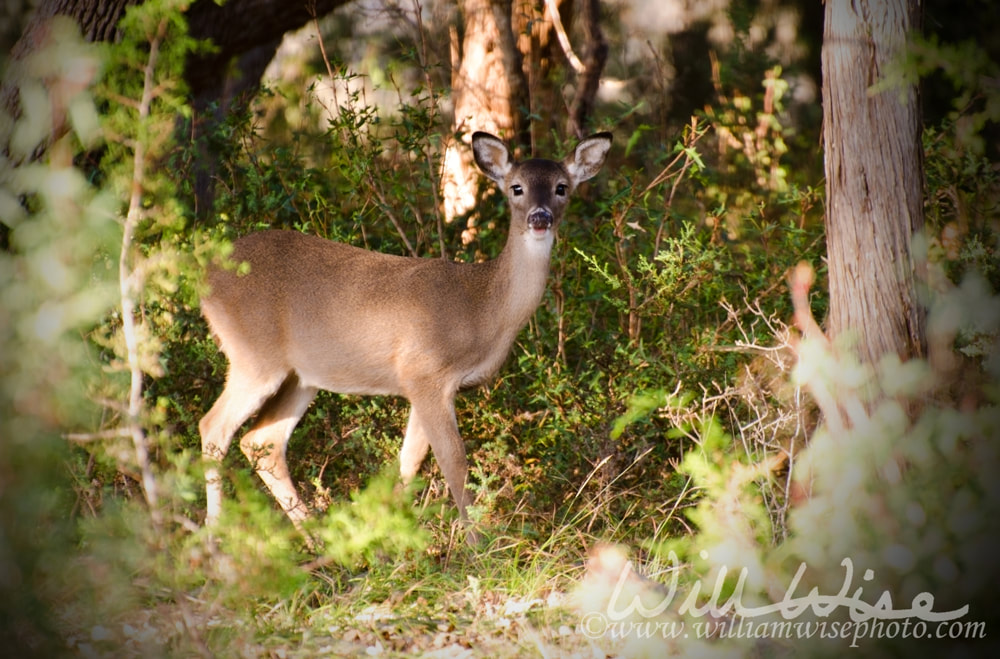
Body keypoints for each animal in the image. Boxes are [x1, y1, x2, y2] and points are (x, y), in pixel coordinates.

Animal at [199, 129, 612, 540]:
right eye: (516, 188)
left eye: (561, 188)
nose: (540, 218)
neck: (483, 307)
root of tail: (204, 275)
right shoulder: (425, 371)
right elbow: (454, 461)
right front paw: (478, 543)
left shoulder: (428, 385)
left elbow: (409, 459)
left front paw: (386, 532)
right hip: (254, 355)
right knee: (214, 427)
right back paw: (215, 532)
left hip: (302, 376)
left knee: (263, 441)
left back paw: (314, 536)